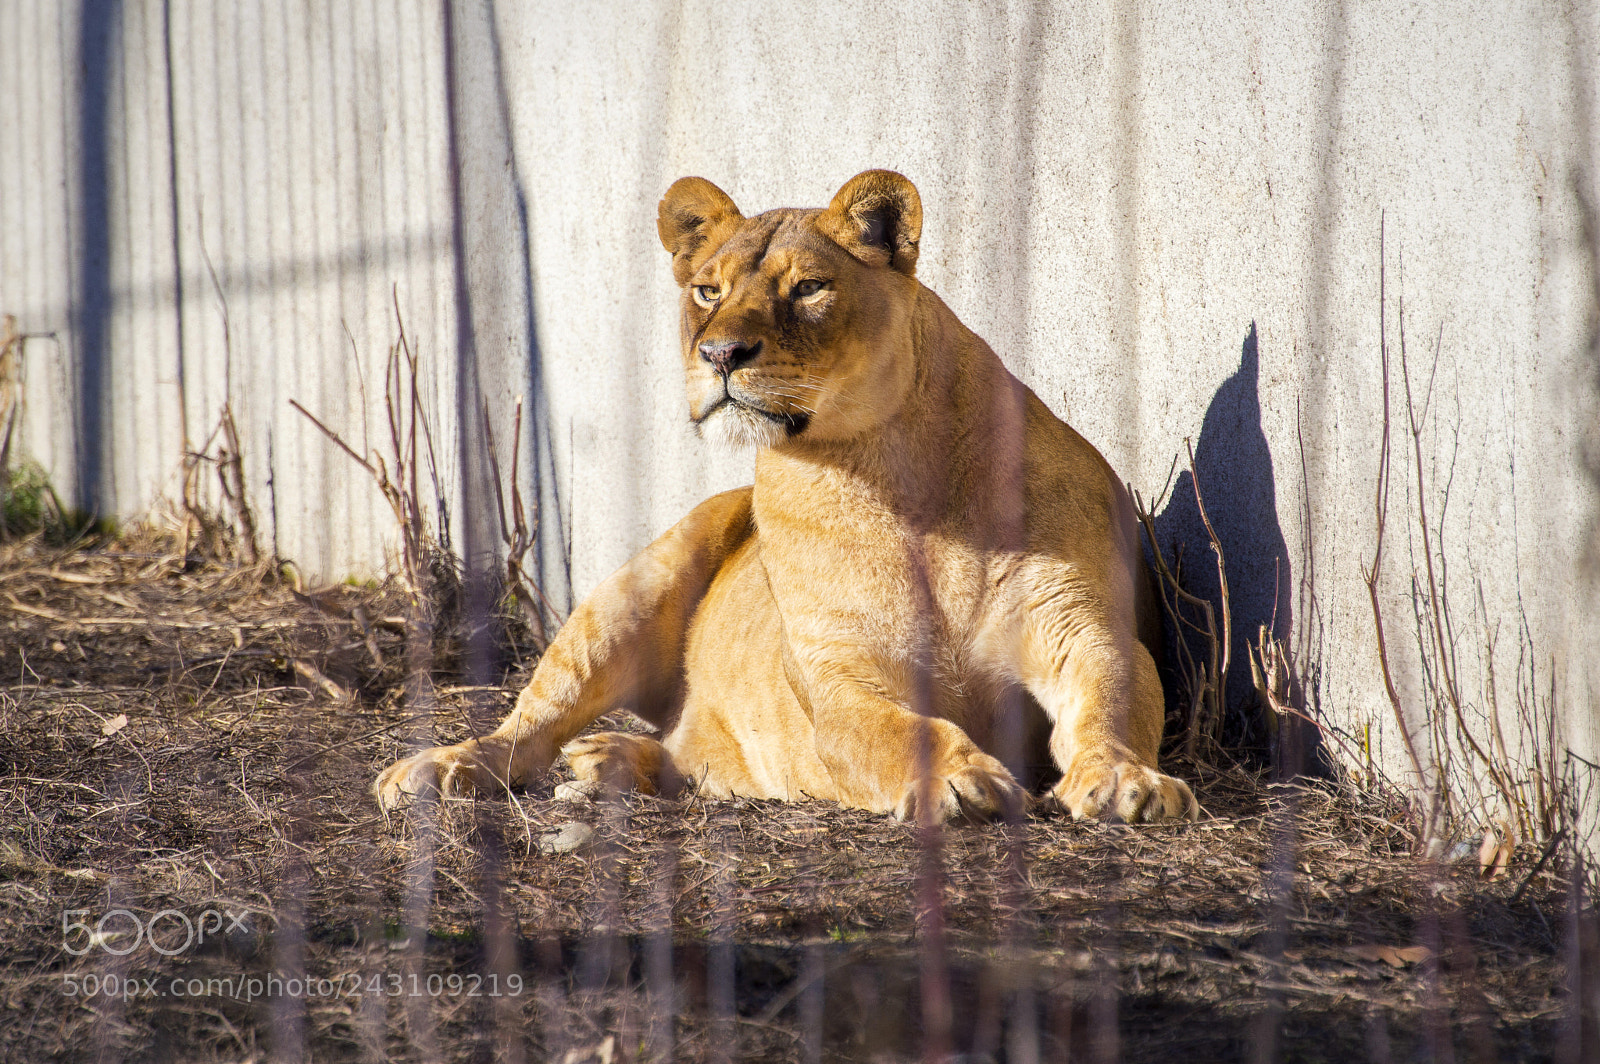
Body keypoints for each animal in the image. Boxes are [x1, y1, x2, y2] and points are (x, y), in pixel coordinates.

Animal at [375, 170, 1197, 824]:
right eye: (707, 290)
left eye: (808, 288)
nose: (719, 353)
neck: (893, 472)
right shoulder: (834, 675)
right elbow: (908, 732)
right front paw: (963, 781)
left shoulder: (1083, 628)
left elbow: (1112, 699)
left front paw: (1124, 780)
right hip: (633, 591)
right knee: (528, 725)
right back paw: (444, 767)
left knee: (682, 757)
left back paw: (608, 762)